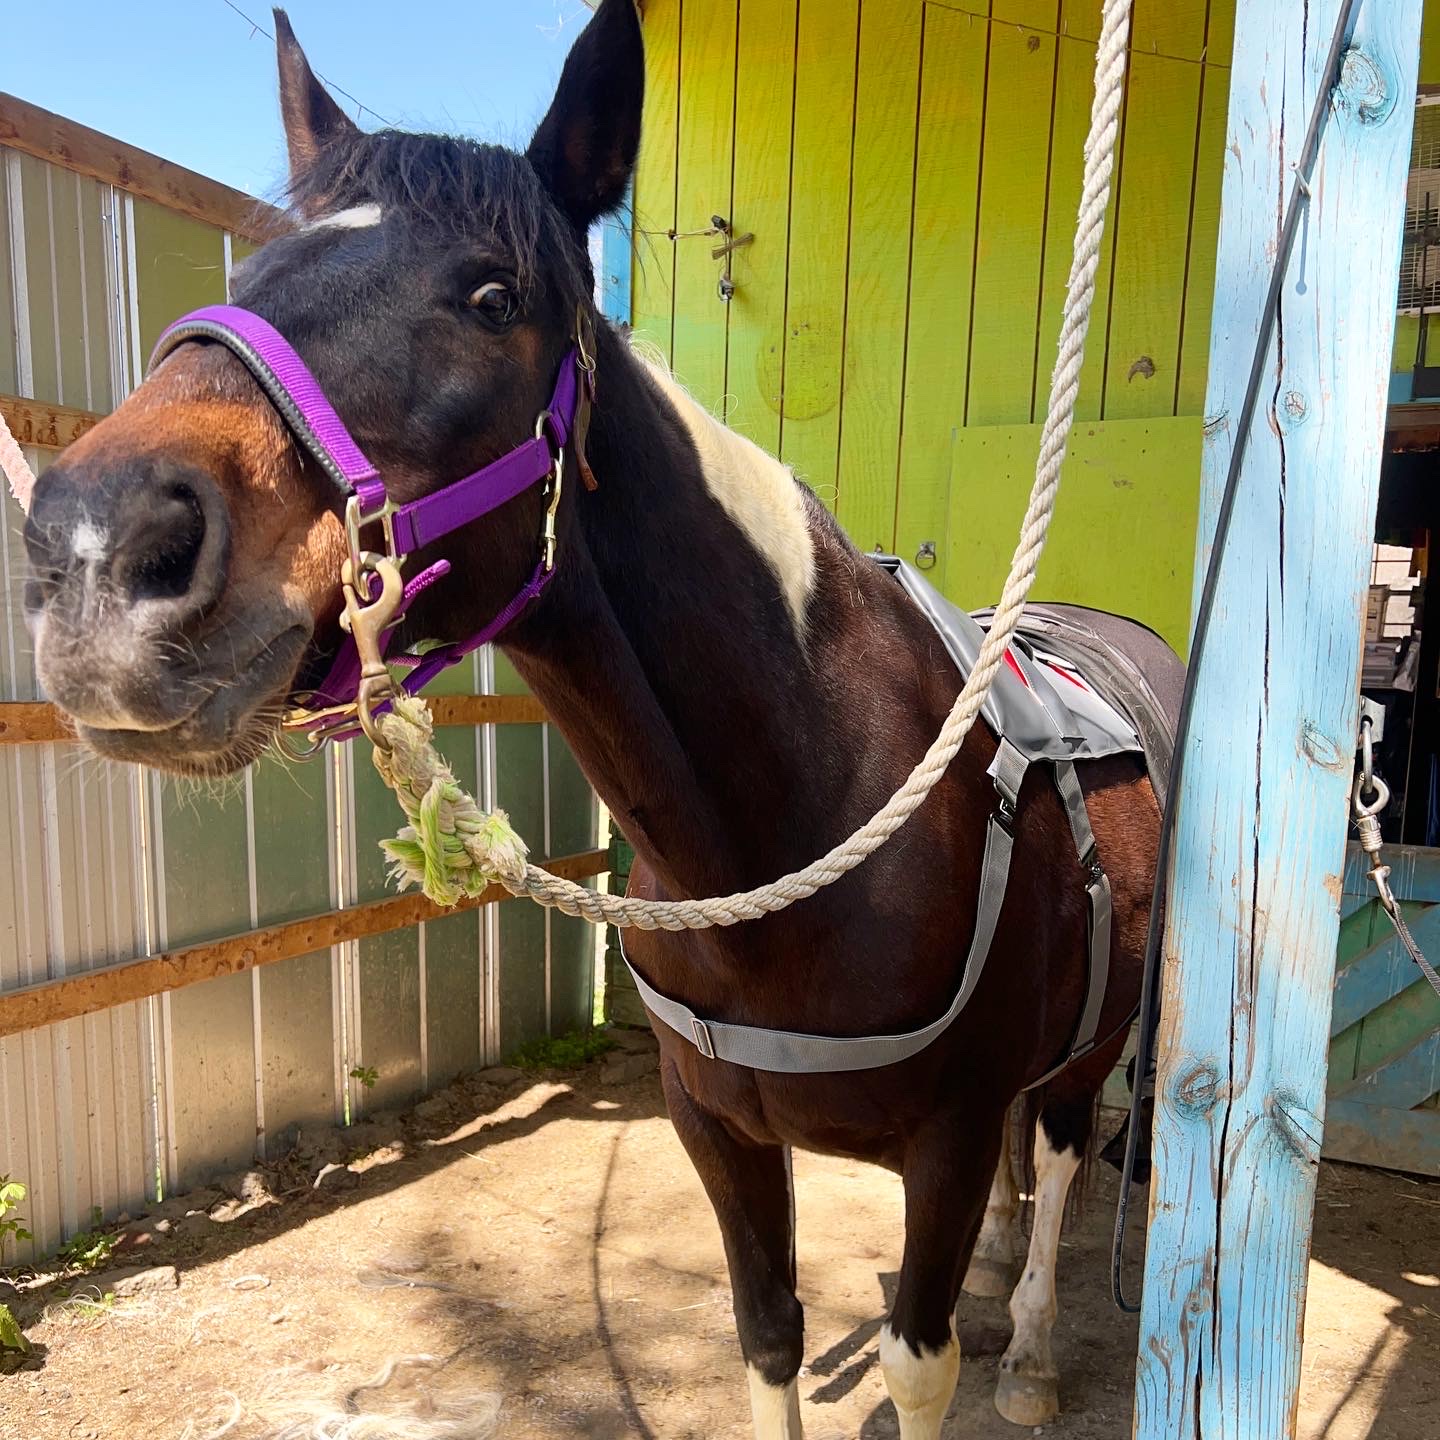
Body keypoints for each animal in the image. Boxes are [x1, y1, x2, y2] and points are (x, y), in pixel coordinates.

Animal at [22, 5, 1175, 1434]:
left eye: (493, 299)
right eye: (254, 270)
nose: (92, 549)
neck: (822, 809)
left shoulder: (945, 1143)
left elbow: (918, 1354)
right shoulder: (716, 1130)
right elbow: (769, 1334)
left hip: (1101, 1037)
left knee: (1064, 1146)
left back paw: (1034, 1351)